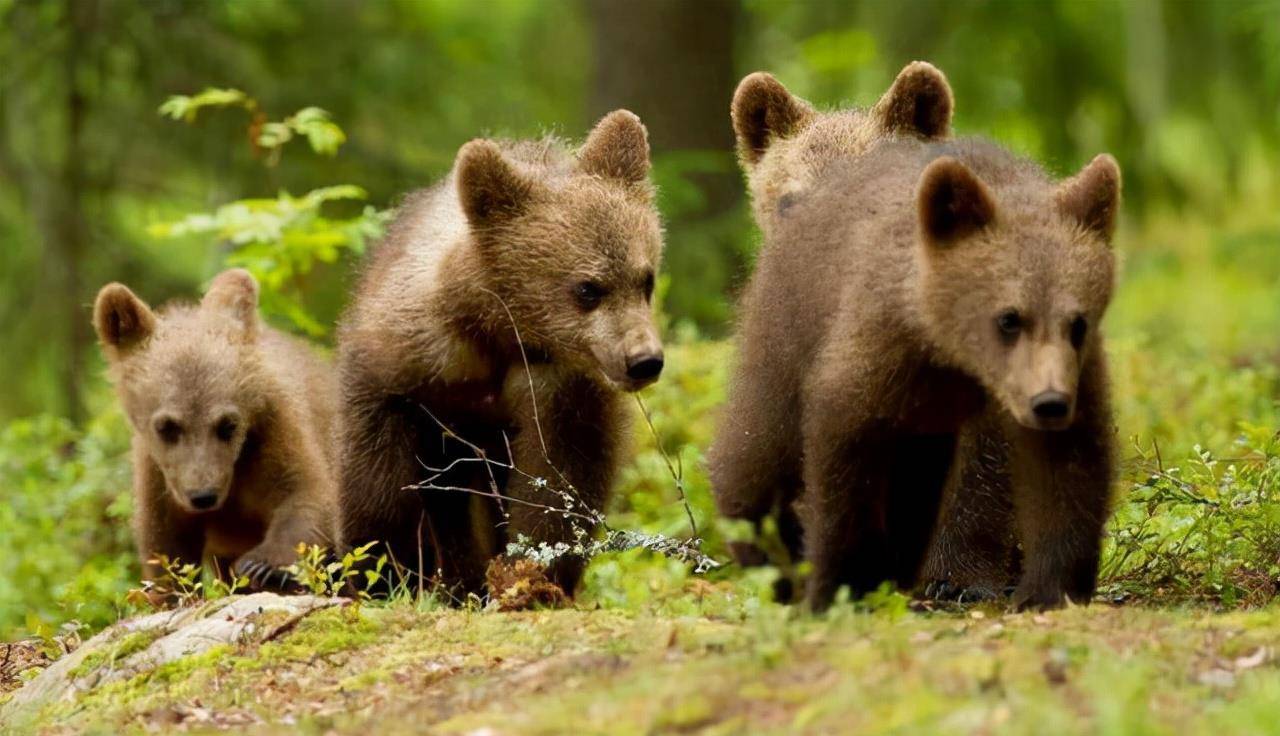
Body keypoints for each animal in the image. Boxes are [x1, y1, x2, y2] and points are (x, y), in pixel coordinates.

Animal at [93, 268, 339, 595]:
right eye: (167, 426)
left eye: (227, 424)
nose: (203, 496)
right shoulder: (160, 474)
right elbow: (165, 545)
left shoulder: (274, 429)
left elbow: (307, 491)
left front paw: (263, 567)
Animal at [336, 110, 664, 598]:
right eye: (588, 288)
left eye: (646, 279)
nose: (644, 360)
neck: (499, 331)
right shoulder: (405, 362)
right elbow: (377, 474)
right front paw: (383, 570)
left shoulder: (560, 388)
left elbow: (558, 479)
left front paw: (531, 575)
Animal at [713, 135, 1120, 611]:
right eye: (1009, 318)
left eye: (1077, 322)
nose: (1049, 403)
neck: (950, 349)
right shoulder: (880, 347)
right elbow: (844, 452)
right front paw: (837, 582)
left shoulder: (1073, 372)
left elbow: (1064, 469)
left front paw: (1048, 591)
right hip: (788, 329)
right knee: (761, 444)